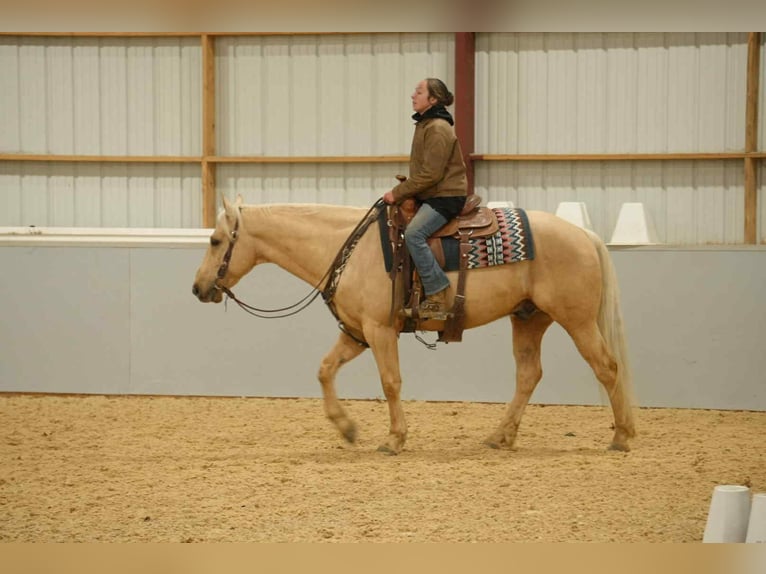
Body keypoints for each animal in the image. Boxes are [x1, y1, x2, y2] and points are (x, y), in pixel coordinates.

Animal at [192, 195, 636, 454]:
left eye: (214, 241)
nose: (198, 287)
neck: (350, 249)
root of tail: (584, 235)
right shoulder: (357, 334)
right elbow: (324, 370)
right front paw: (347, 429)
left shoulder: (380, 331)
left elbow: (390, 382)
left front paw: (394, 438)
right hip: (529, 318)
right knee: (529, 374)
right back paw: (501, 436)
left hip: (577, 320)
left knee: (607, 367)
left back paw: (621, 436)